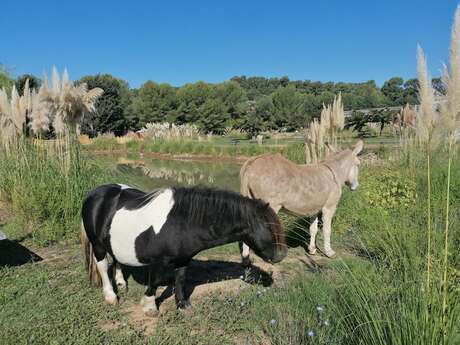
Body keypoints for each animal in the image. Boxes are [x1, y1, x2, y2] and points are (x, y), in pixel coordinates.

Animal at [81, 183, 286, 314]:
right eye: (269, 227)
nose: (282, 255)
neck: (181, 221)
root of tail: (94, 193)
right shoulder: (158, 261)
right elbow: (155, 281)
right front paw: (149, 306)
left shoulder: (183, 259)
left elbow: (180, 279)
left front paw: (182, 305)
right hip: (97, 244)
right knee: (102, 266)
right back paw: (110, 296)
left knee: (116, 259)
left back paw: (121, 282)